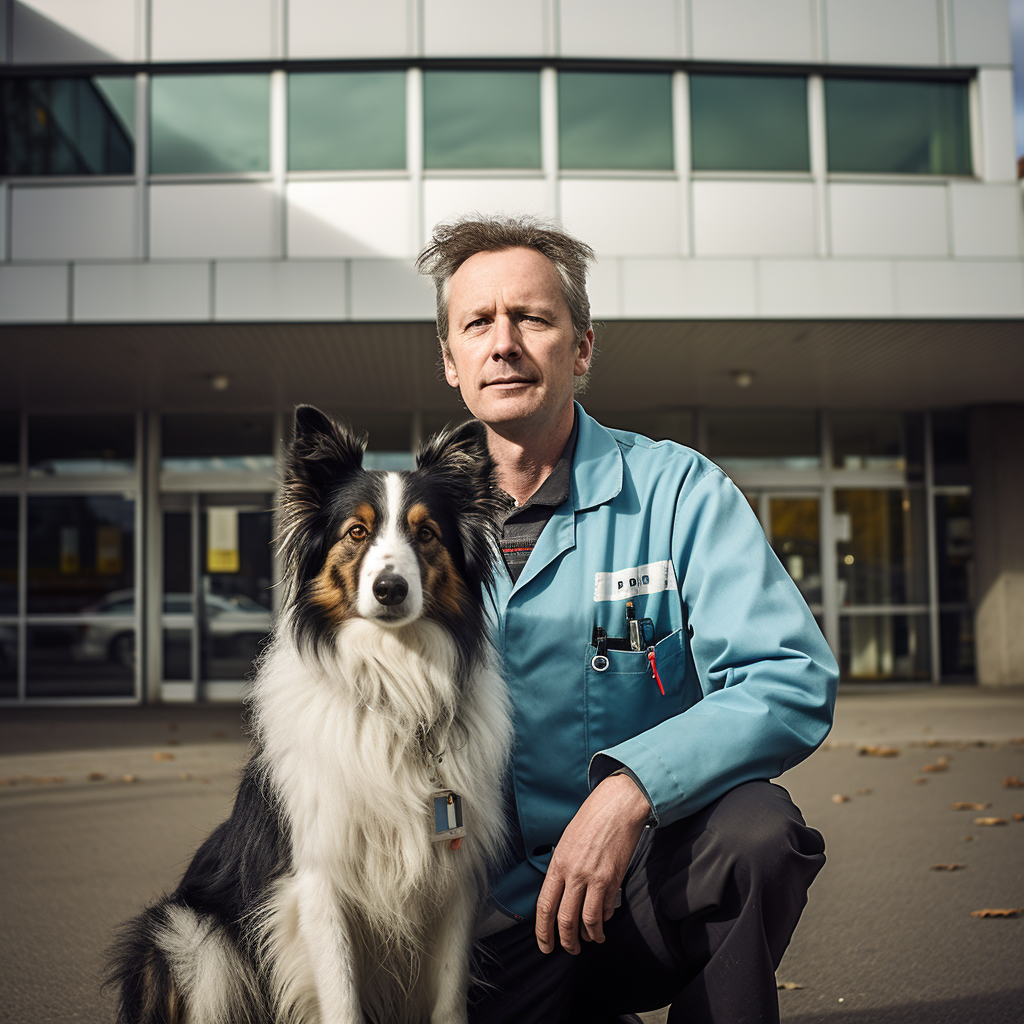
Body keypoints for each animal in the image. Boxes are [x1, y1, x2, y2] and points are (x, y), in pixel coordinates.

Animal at [109, 407, 512, 1024]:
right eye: (356, 532)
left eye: (426, 533)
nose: (390, 588)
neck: (393, 686)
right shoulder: (318, 881)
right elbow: (340, 999)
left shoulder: (454, 882)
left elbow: (447, 1002)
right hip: (187, 936)